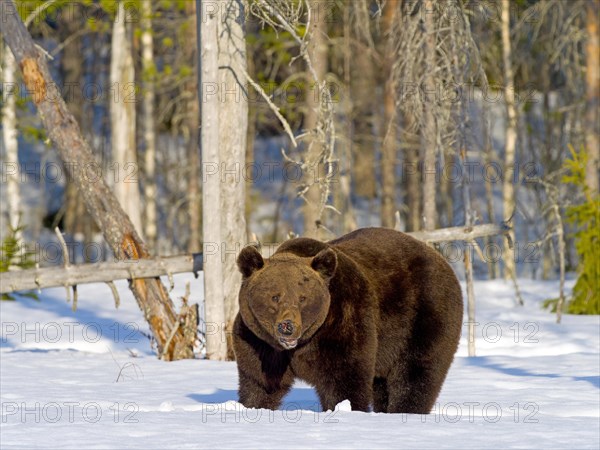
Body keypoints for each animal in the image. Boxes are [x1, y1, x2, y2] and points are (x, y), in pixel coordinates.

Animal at [232, 227, 462, 414]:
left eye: (302, 298)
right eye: (275, 296)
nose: (287, 327)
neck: (299, 346)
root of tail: (440, 259)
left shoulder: (342, 325)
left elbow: (344, 380)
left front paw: (344, 409)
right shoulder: (259, 342)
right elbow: (258, 382)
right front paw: (252, 406)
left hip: (424, 315)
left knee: (415, 374)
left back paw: (405, 410)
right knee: (383, 385)